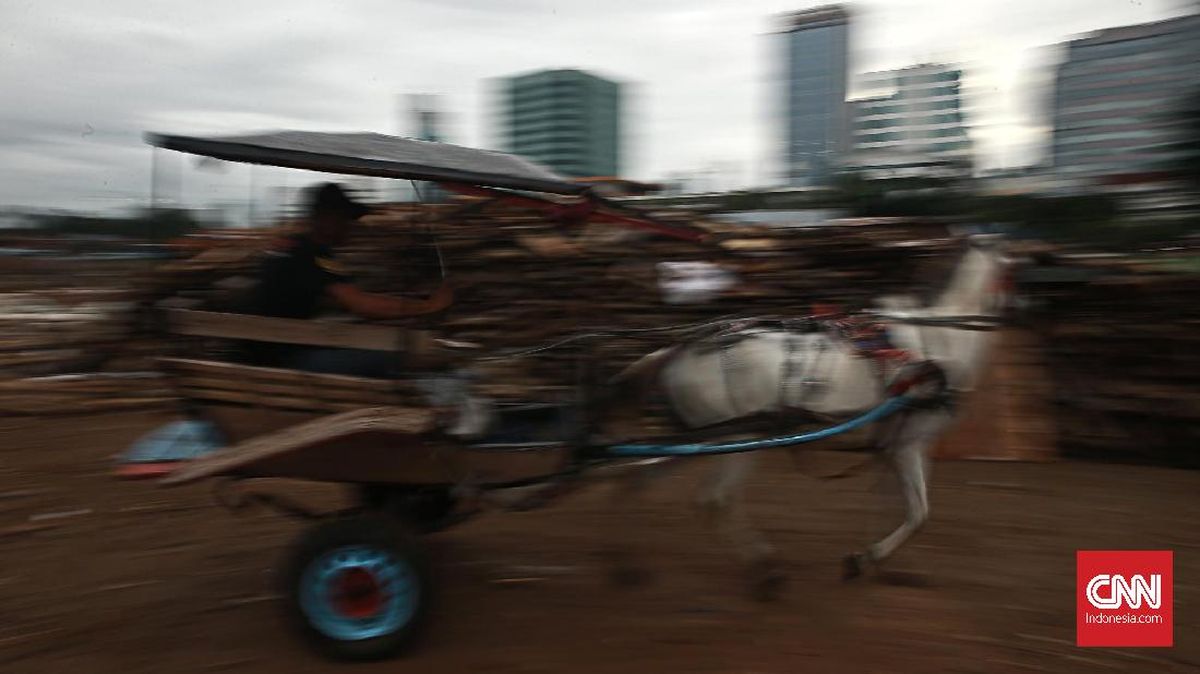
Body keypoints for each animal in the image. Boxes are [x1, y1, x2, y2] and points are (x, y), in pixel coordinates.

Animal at [604, 235, 1008, 592]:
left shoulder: (902, 443)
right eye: (1015, 270)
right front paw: (866, 559)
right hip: (740, 438)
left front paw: (880, 564)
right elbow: (918, 512)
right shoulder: (908, 441)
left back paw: (626, 565)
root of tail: (676, 351)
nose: (1018, 306)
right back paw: (765, 571)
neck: (936, 346)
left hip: (701, 436)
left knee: (637, 478)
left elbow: (899, 504)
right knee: (716, 499)